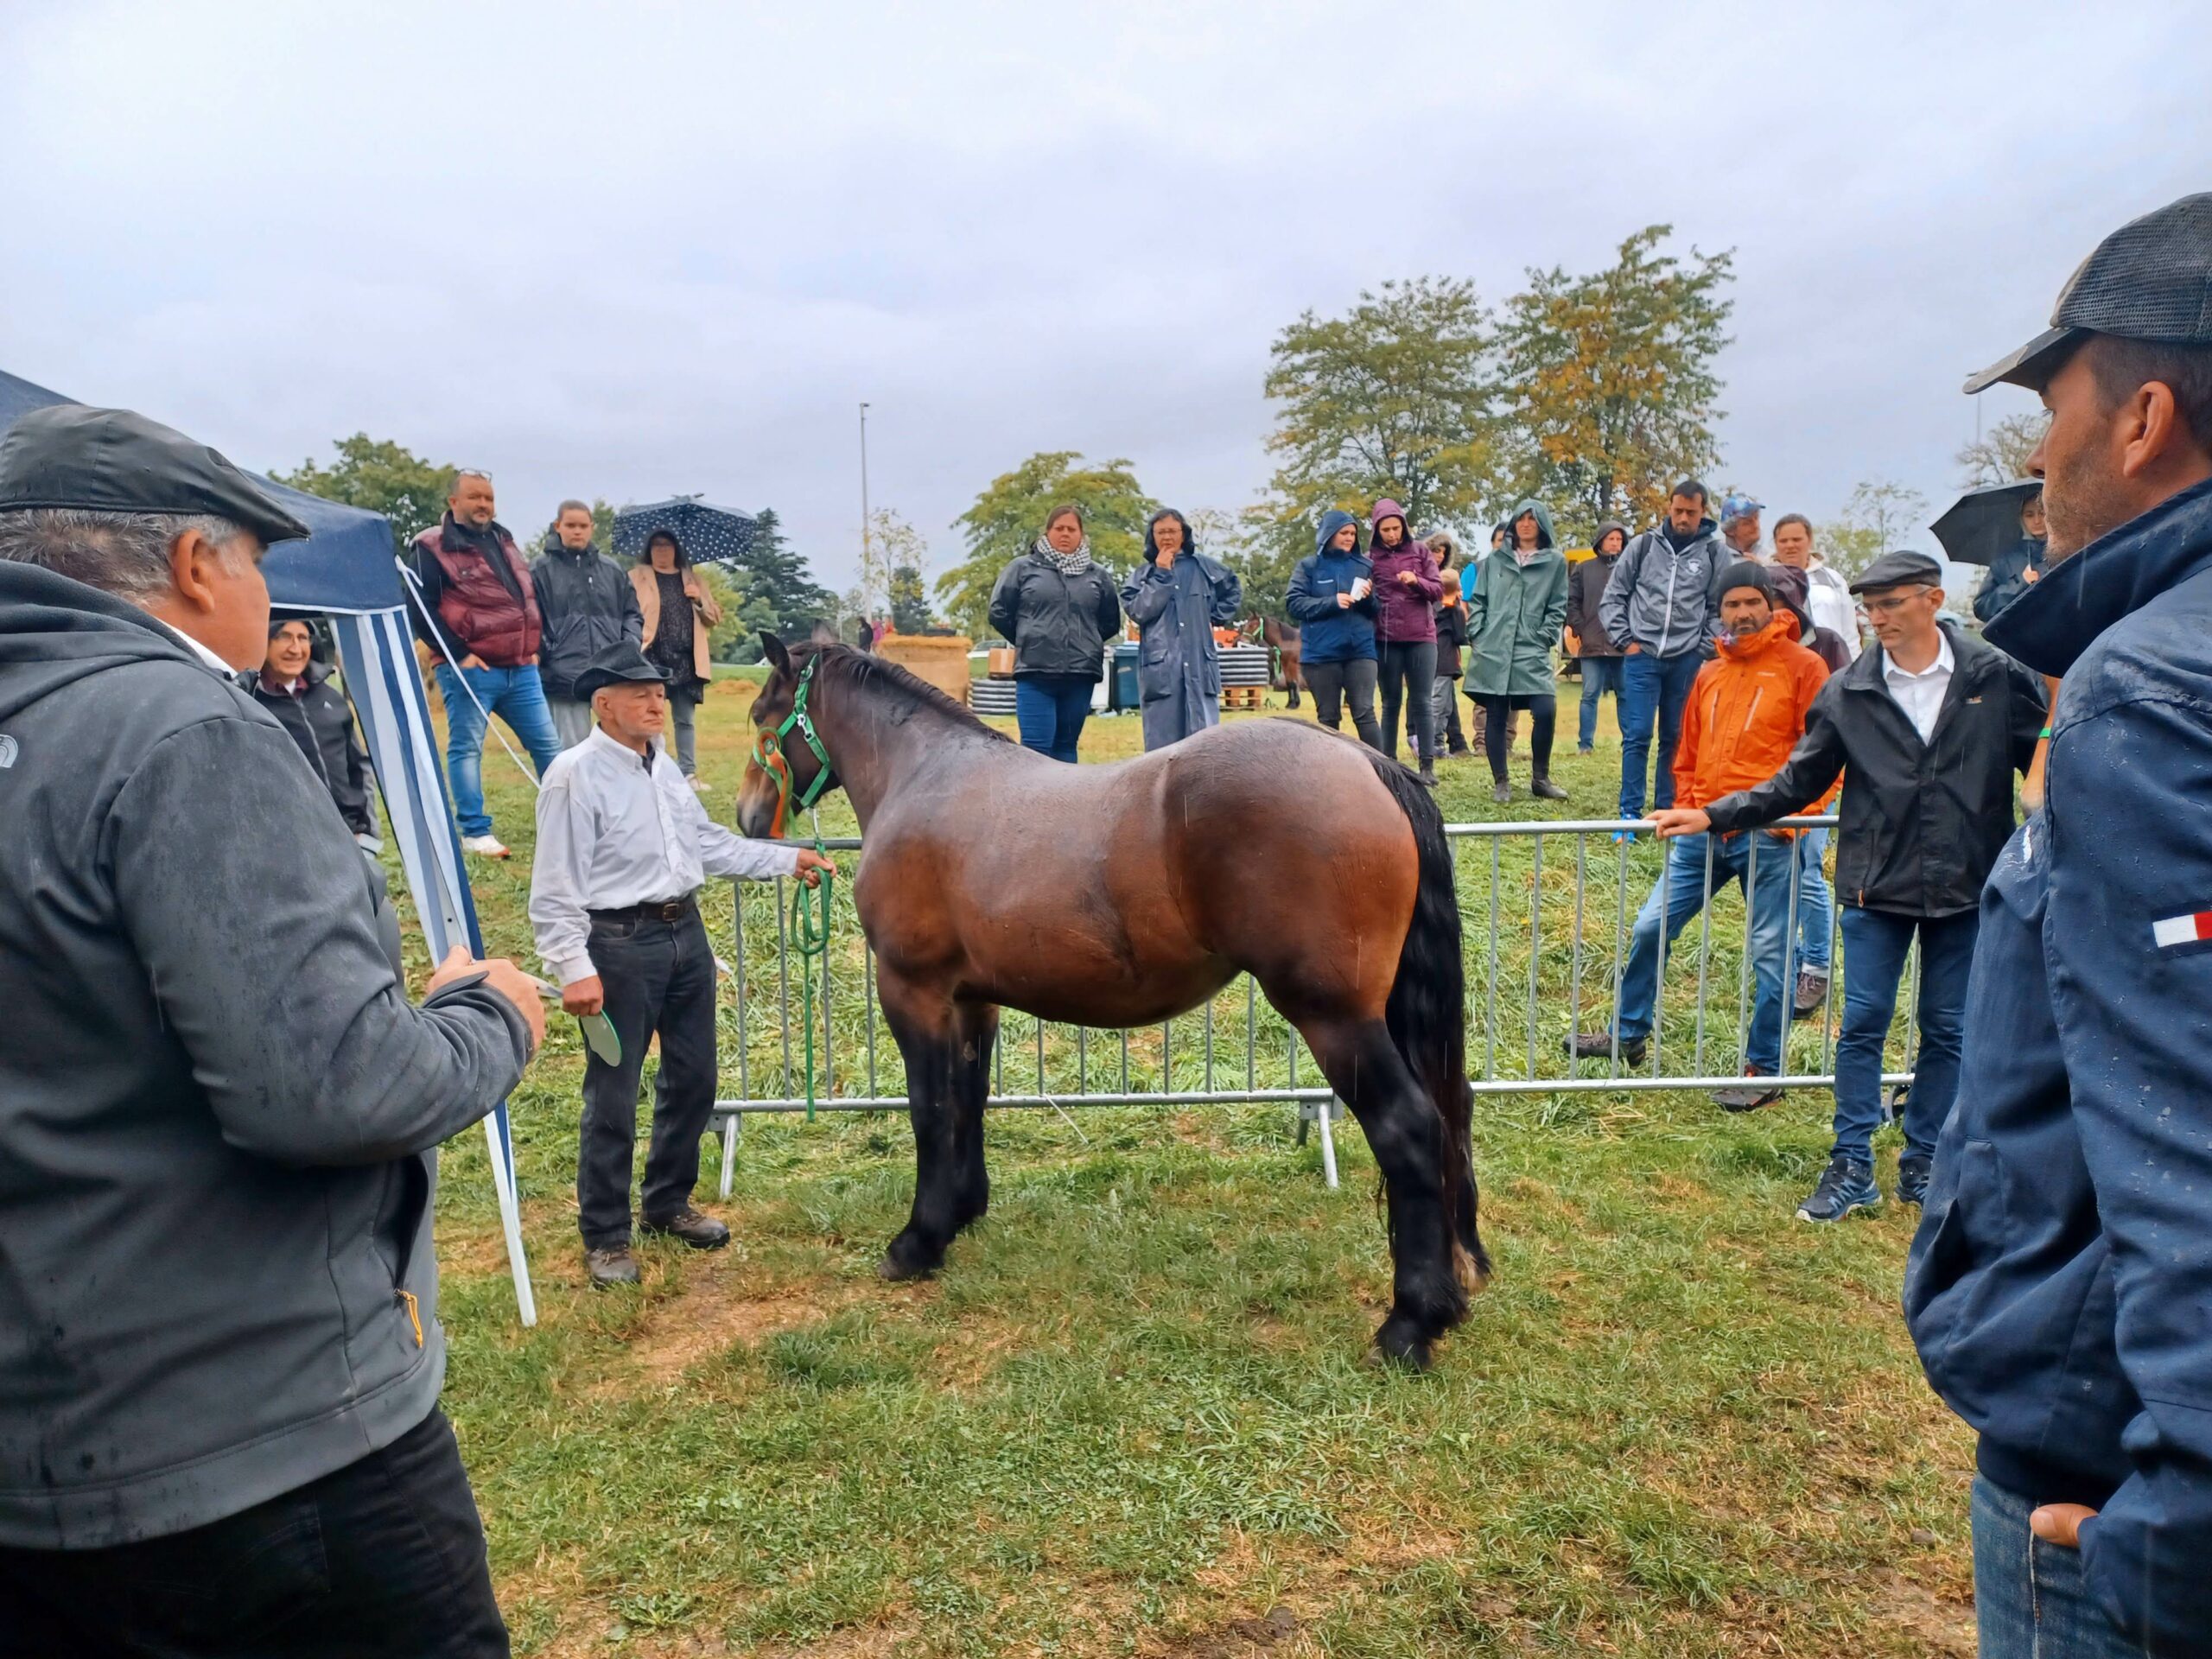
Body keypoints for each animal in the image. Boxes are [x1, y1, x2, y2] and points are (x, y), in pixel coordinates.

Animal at [739, 632, 1486, 1362]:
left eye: (759, 714)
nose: (747, 817)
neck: (924, 776)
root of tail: (1364, 760)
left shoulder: (913, 991)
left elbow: (929, 1110)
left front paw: (918, 1243)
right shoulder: (973, 1002)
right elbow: (968, 1102)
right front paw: (963, 1210)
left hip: (1336, 1020)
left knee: (1409, 1128)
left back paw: (1410, 1323)